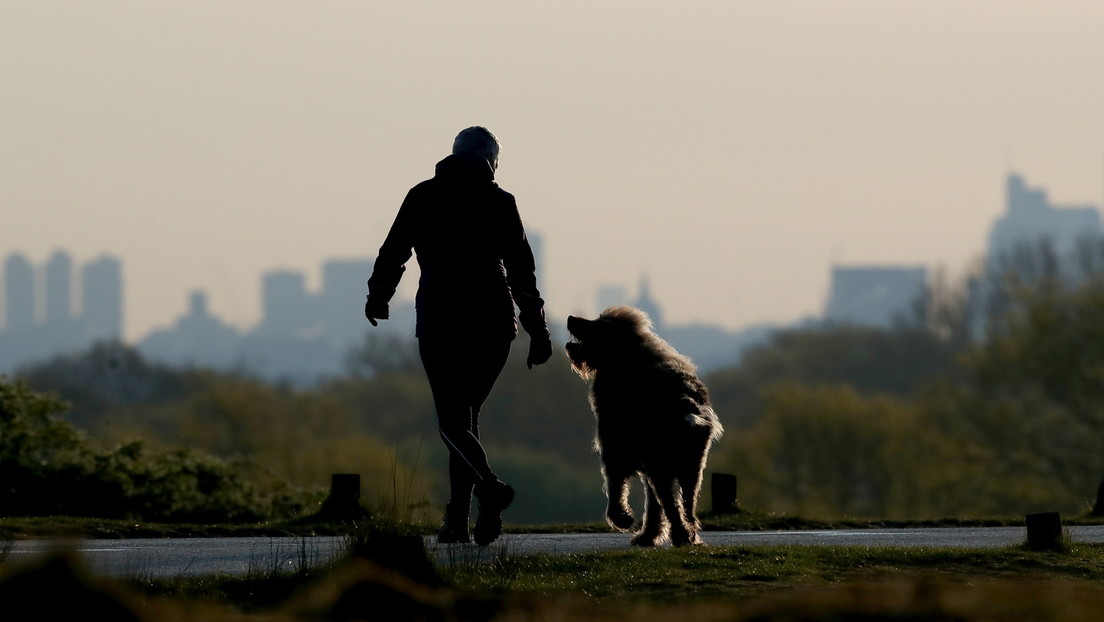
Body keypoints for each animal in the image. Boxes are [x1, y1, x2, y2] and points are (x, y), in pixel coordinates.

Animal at [569, 304, 724, 545]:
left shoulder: (614, 447)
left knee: (671, 503)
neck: (625, 356)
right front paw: (649, 534)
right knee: (686, 503)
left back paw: (680, 535)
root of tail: (685, 404)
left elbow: (615, 485)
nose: (570, 318)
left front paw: (621, 518)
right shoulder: (649, 462)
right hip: (692, 465)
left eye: (599, 323)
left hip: (662, 463)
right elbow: (652, 504)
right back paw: (689, 534)